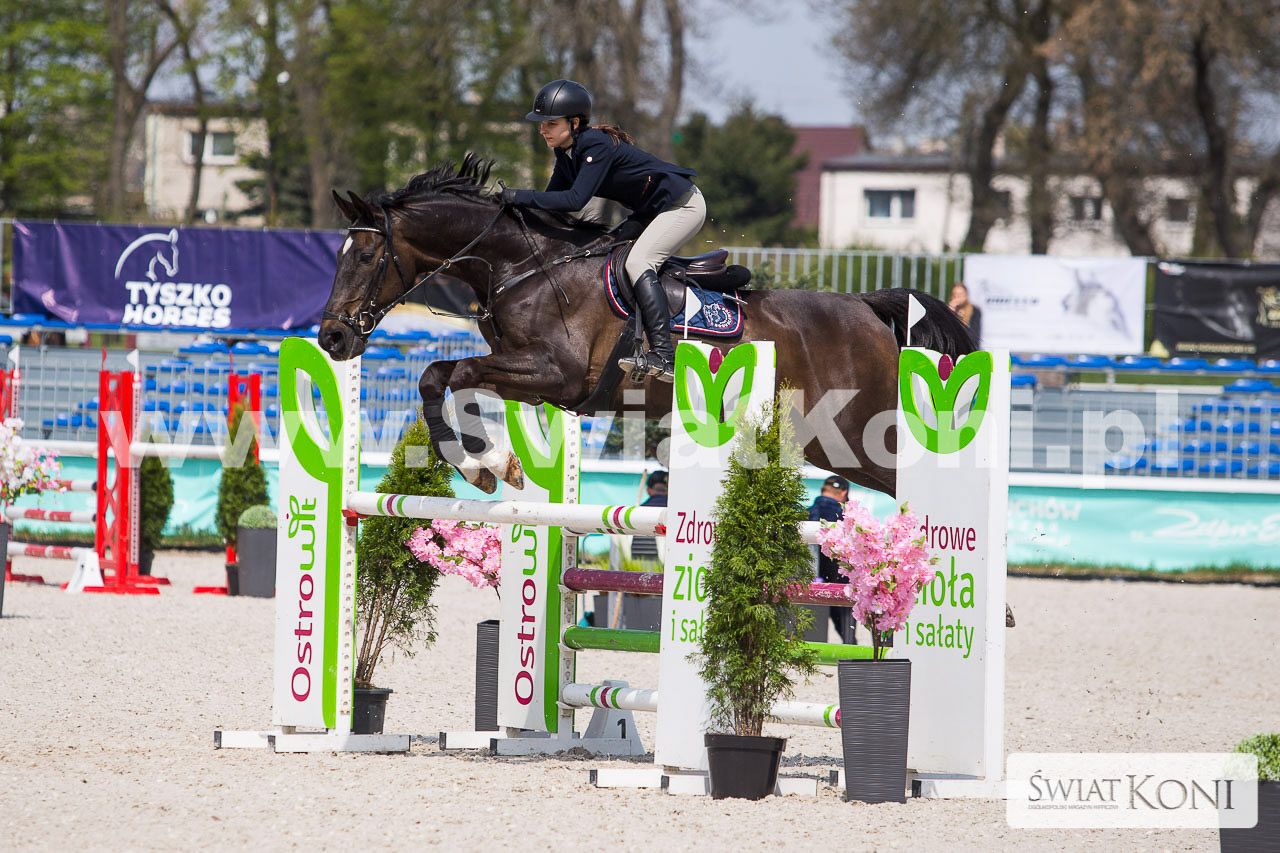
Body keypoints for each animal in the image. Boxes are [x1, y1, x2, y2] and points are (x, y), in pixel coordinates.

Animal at [319, 154, 975, 497]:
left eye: (366, 256)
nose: (332, 338)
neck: (522, 266)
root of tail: (866, 307)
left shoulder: (556, 376)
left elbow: (444, 374)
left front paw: (483, 463)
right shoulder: (527, 375)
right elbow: (445, 377)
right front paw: (487, 465)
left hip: (855, 430)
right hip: (826, 443)